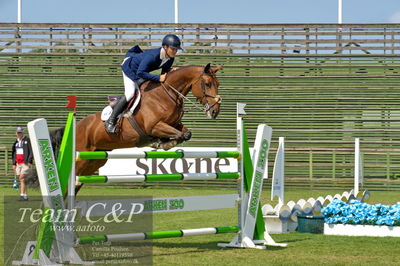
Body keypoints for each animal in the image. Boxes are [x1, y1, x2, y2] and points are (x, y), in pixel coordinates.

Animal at [74, 64, 222, 193]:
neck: (166, 94)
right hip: (81, 158)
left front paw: (163, 142)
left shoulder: (175, 124)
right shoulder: (154, 126)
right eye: (207, 84)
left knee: (77, 183)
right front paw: (164, 143)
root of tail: (77, 125)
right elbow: (181, 135)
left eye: (218, 84)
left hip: (95, 160)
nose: (215, 111)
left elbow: (186, 133)